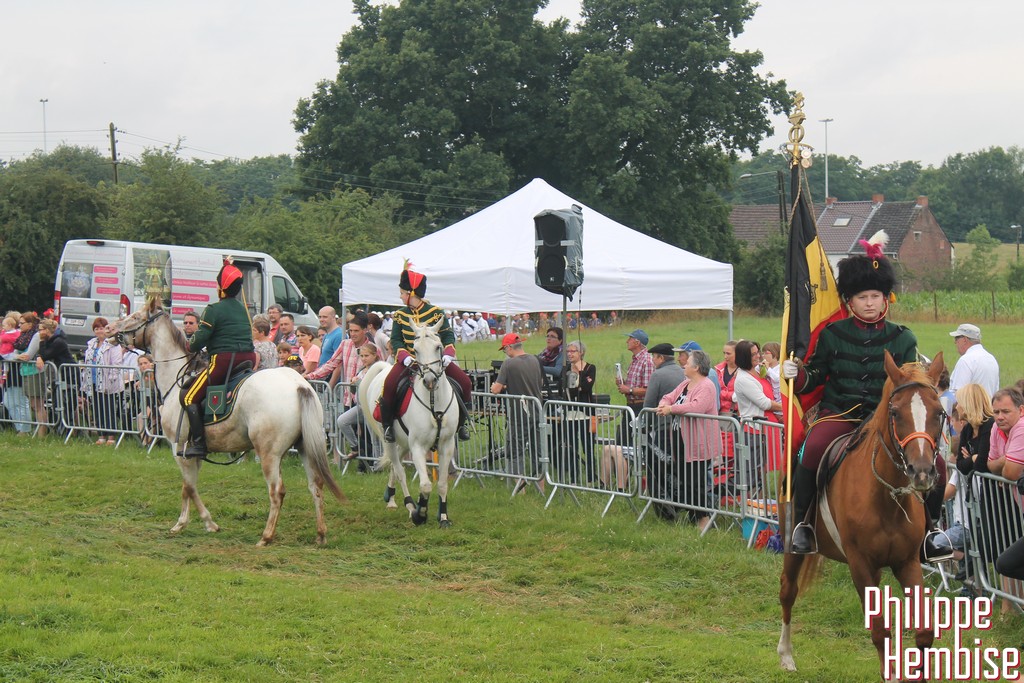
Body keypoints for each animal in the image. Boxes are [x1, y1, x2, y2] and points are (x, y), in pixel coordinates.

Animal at [108, 298, 346, 546]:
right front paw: (186, 523)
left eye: (136, 317)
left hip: (269, 454)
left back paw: (266, 537)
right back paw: (320, 534)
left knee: (277, 491)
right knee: (315, 486)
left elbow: (189, 487)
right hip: (305, 447)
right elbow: (188, 487)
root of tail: (298, 384)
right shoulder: (193, 453)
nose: (112, 330)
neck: (176, 380)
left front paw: (203, 523)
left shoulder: (178, 447)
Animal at [359, 318, 459, 527]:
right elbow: (426, 485)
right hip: (389, 439)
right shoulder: (418, 446)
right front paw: (420, 513)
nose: (429, 380)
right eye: (415, 349)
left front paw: (443, 517)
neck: (433, 401)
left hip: (404, 442)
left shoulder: (446, 445)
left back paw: (390, 496)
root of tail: (384, 369)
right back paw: (410, 505)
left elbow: (442, 484)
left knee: (396, 465)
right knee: (399, 470)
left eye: (438, 347)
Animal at [778, 351, 945, 679]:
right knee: (788, 591)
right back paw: (786, 655)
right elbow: (880, 630)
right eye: (895, 413)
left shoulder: (907, 562)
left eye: (940, 413)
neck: (887, 498)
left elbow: (924, 631)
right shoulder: (860, 564)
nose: (921, 472)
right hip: (793, 547)